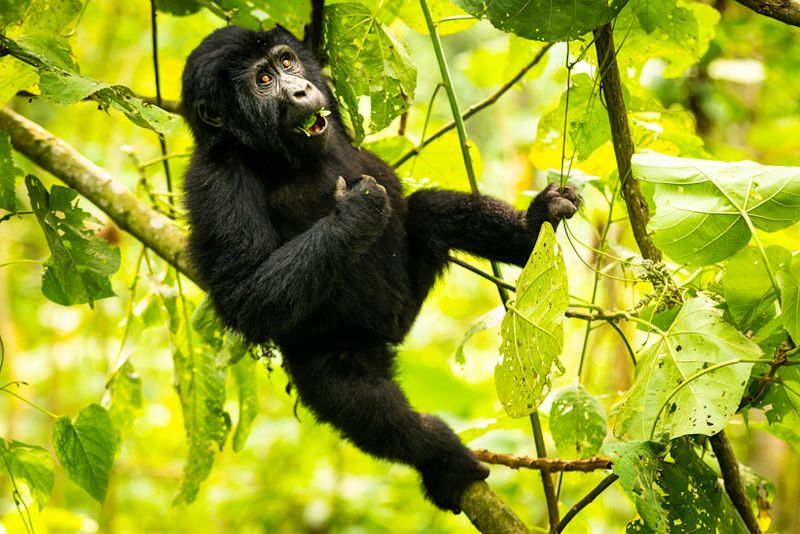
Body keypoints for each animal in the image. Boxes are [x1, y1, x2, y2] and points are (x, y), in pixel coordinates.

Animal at [184, 26, 580, 516]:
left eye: (287, 62)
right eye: (263, 79)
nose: (299, 89)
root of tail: (394, 331)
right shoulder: (216, 182)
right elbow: (243, 298)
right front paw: (356, 212)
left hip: (411, 293)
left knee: (430, 212)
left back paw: (532, 230)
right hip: (338, 346)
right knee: (364, 405)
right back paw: (441, 457)